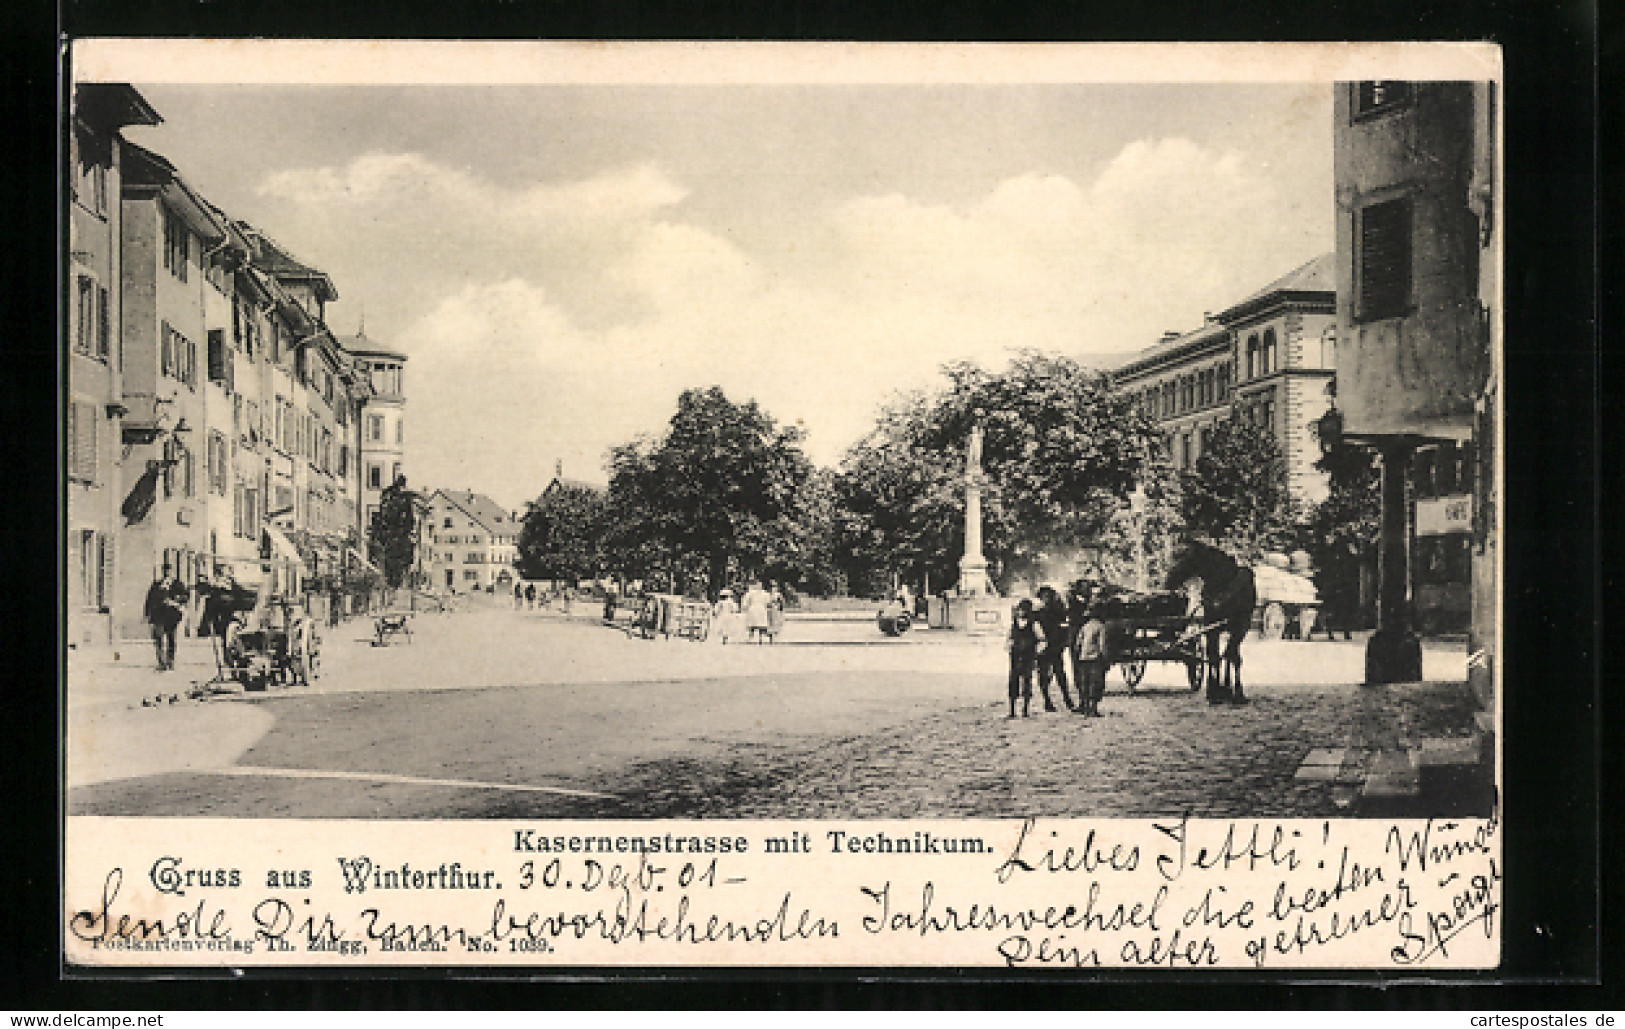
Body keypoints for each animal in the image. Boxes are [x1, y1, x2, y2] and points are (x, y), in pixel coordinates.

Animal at [1163, 542, 1261, 702]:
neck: (1224, 587)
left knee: (1229, 654)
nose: (1168, 580)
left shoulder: (1241, 628)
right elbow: (1214, 657)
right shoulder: (1211, 627)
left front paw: (1236, 691)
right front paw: (1214, 691)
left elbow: (1232, 656)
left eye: (1185, 557)